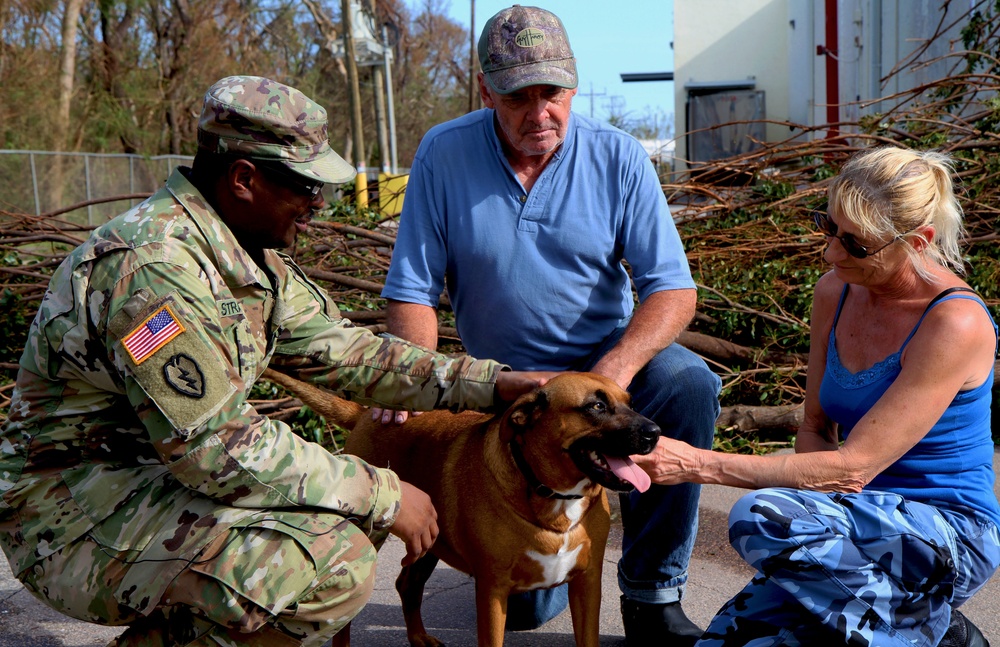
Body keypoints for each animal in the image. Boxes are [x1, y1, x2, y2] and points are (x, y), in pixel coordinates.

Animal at [262, 370, 660, 647]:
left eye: (630, 402)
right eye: (596, 406)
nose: (655, 432)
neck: (551, 495)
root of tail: (365, 413)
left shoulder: (587, 585)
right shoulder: (492, 592)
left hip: (429, 541)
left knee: (407, 583)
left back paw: (418, 636)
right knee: (346, 623)